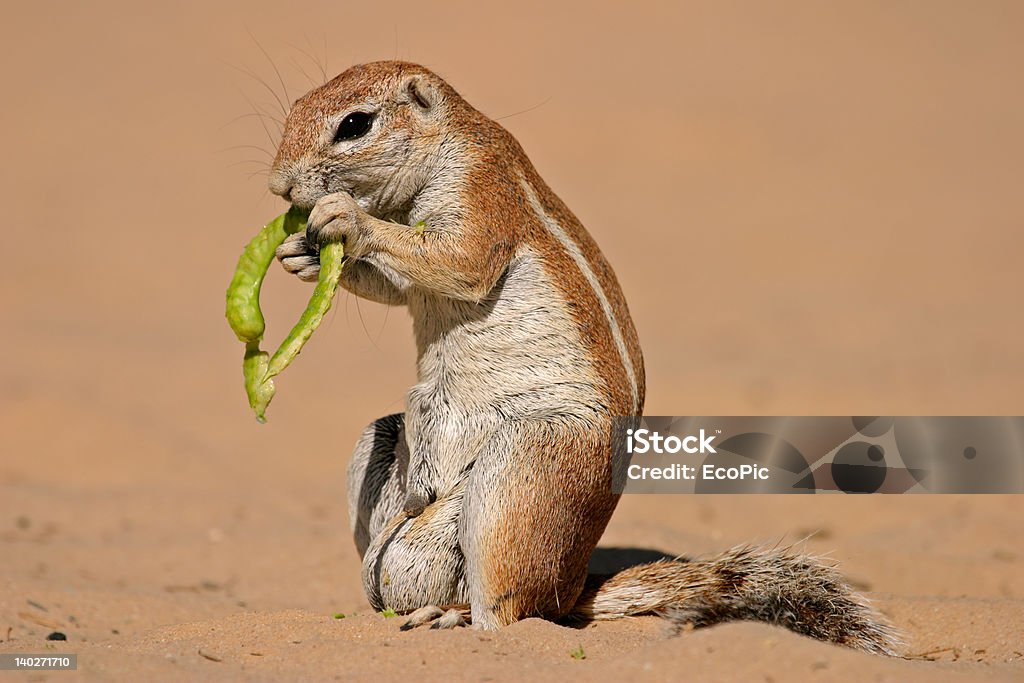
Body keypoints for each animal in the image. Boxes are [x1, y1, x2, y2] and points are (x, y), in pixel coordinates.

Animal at [270, 61, 897, 655]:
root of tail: (574, 589)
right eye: (295, 107)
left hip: (530, 466)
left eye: (355, 125)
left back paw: (456, 618)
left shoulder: (481, 193)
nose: (279, 186)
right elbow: (399, 288)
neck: (448, 139)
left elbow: (458, 260)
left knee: (511, 611)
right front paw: (300, 253)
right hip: (383, 452)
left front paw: (344, 220)